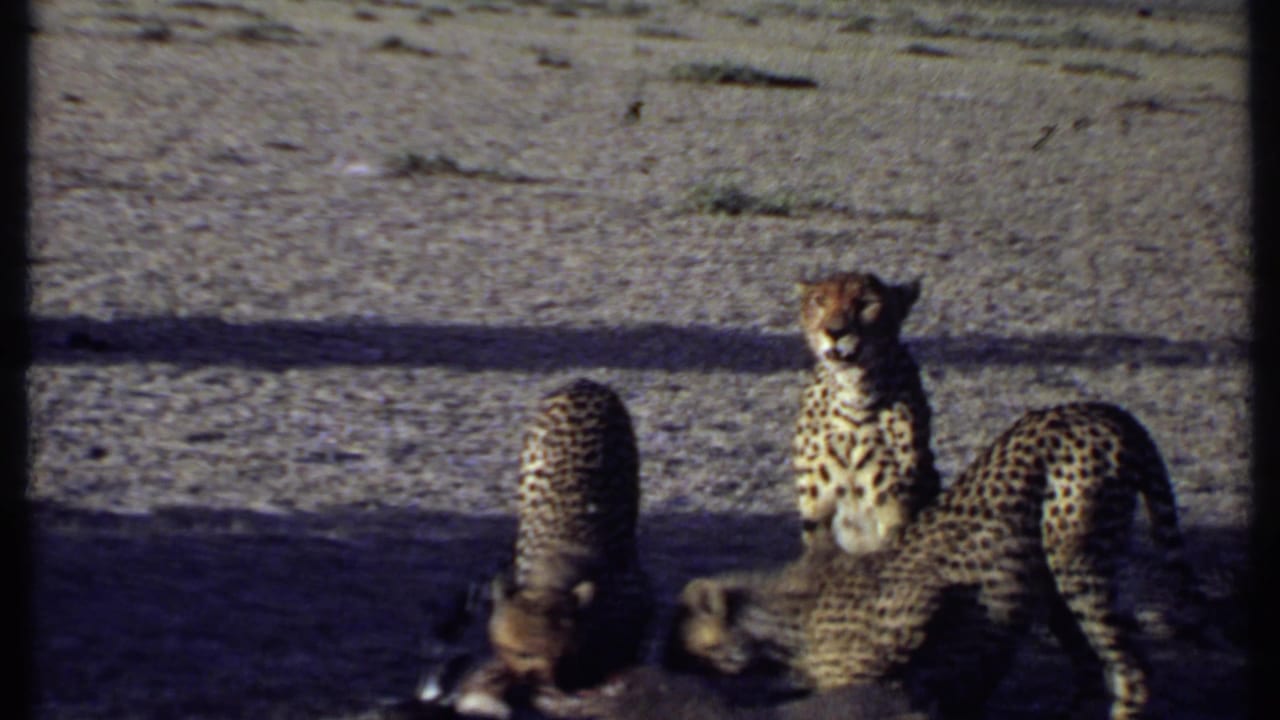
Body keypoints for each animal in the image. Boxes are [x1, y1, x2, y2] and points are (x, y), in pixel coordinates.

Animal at [668, 402, 1210, 720]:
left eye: (688, 646)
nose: (675, 669)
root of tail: (1100, 410)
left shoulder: (917, 604)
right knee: (1093, 666)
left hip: (1075, 555)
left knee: (1134, 670)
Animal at [793, 271, 941, 555]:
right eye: (820, 300)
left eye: (866, 303)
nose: (835, 331)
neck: (854, 391)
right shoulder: (817, 513)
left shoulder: (894, 511)